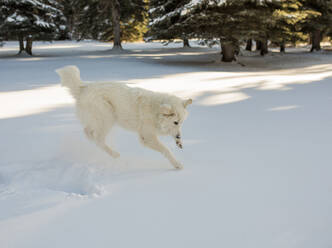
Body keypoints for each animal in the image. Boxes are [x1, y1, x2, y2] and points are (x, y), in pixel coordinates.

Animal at [56, 66, 192, 170]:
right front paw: (177, 164)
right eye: (175, 122)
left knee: (88, 133)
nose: (179, 137)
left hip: (99, 120)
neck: (155, 110)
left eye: (181, 122)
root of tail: (83, 87)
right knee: (98, 139)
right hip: (108, 117)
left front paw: (179, 143)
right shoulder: (147, 137)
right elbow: (166, 150)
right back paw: (115, 154)